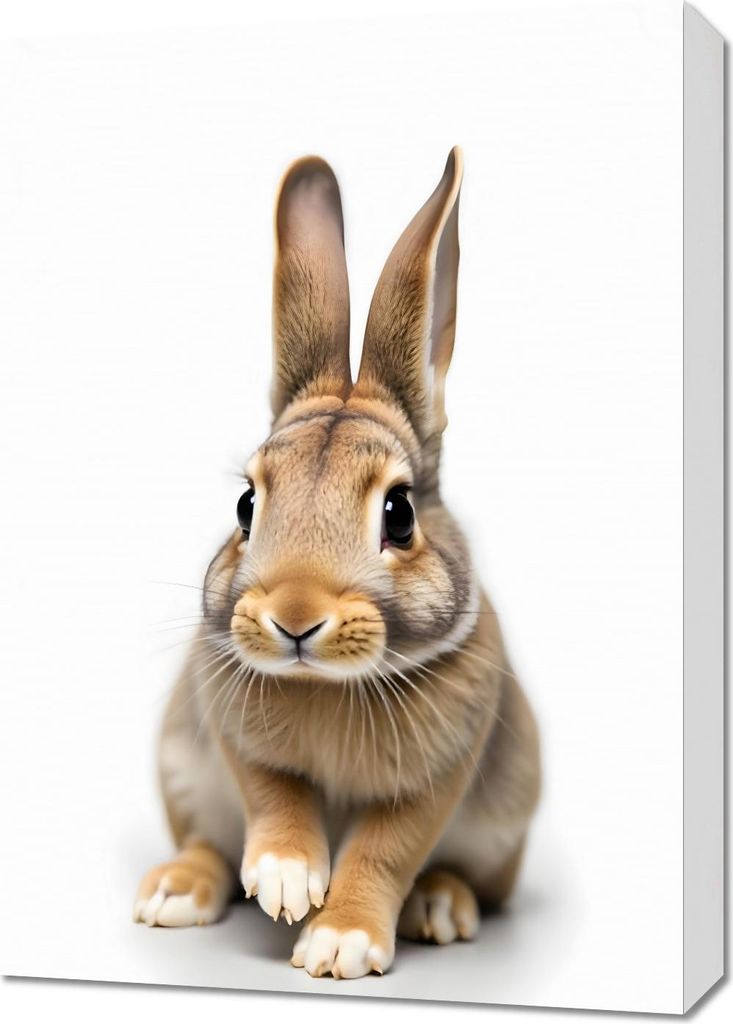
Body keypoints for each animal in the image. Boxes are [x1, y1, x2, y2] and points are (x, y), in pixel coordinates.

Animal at [133, 147, 541, 980]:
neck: (327, 684)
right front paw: (287, 881)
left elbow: (387, 850)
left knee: (467, 879)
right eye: (246, 505)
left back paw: (440, 906)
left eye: (399, 513)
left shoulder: (437, 775)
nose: (293, 617)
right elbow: (272, 797)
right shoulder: (233, 732)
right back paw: (173, 893)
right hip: (182, 774)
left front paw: (338, 940)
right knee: (206, 842)